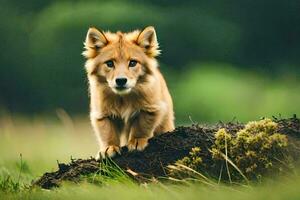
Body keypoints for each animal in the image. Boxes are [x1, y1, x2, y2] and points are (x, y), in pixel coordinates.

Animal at [83, 26, 175, 158]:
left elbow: (141, 126)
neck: (123, 98)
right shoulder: (102, 114)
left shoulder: (151, 109)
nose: (121, 80)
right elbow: (107, 132)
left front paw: (137, 141)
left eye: (132, 63)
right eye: (109, 63)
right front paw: (109, 148)